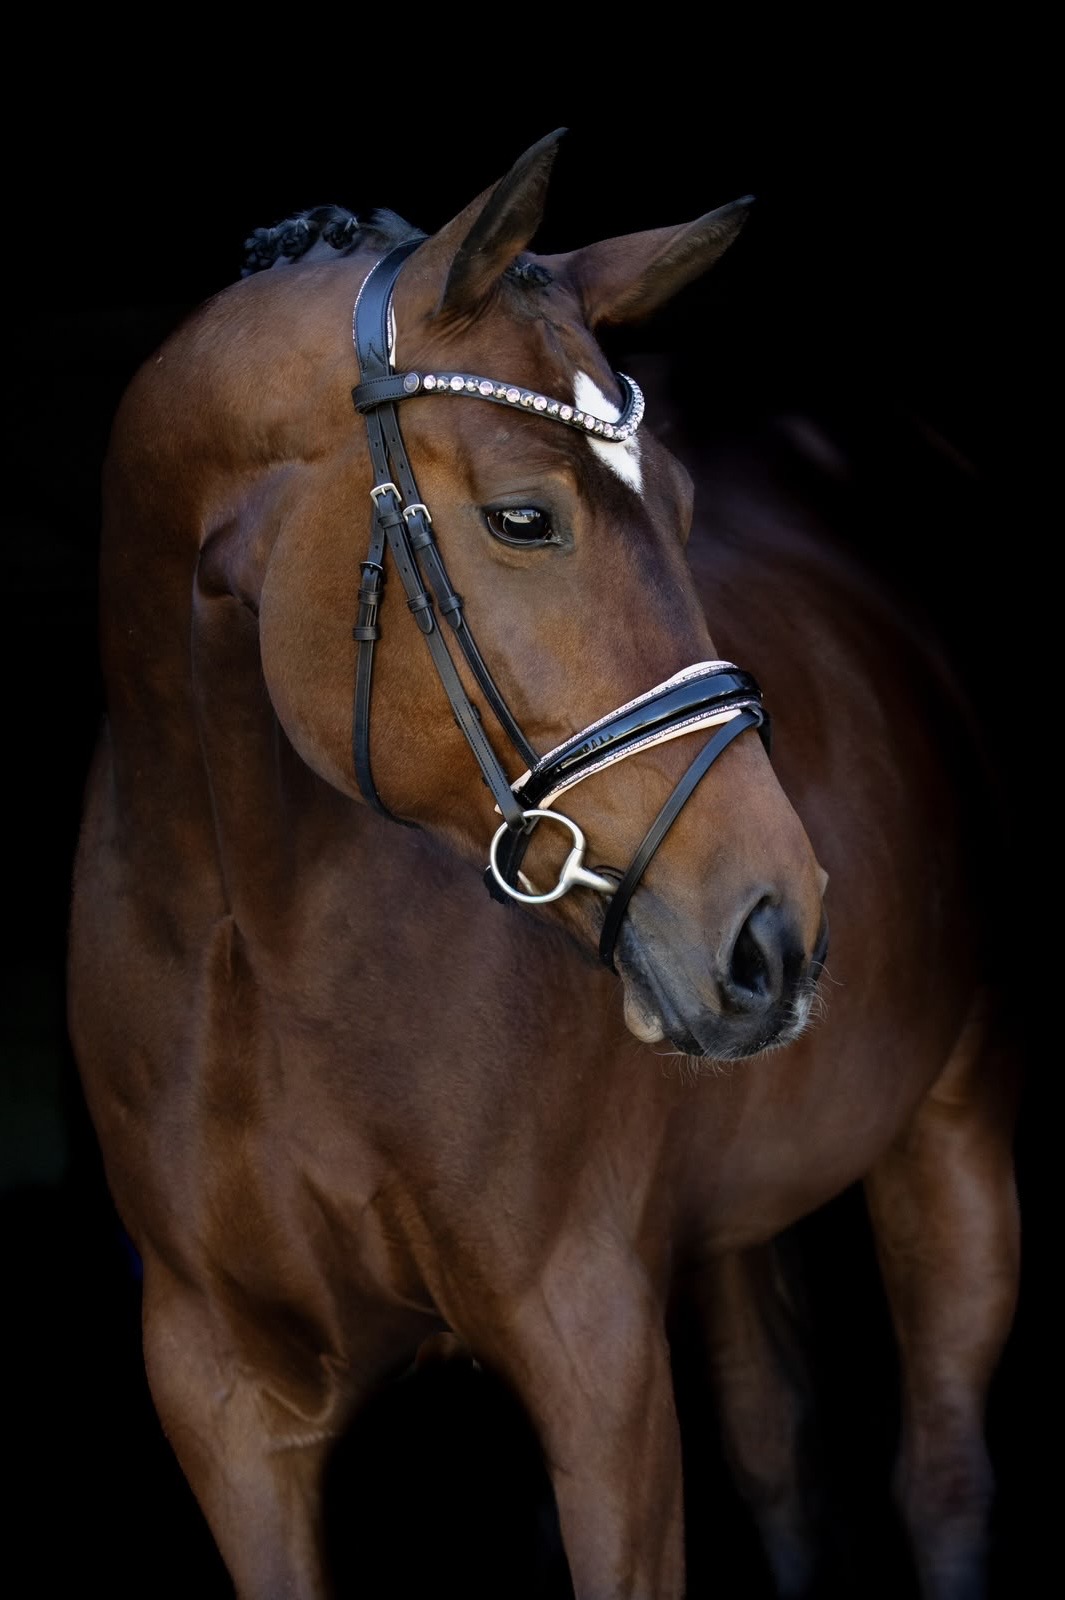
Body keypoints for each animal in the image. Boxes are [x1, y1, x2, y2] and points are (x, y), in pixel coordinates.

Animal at [66, 127, 1021, 1598]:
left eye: (682, 505)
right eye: (523, 519)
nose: (776, 932)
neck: (251, 934)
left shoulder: (594, 1357)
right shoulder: (221, 1395)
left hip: (953, 1121)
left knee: (941, 1477)